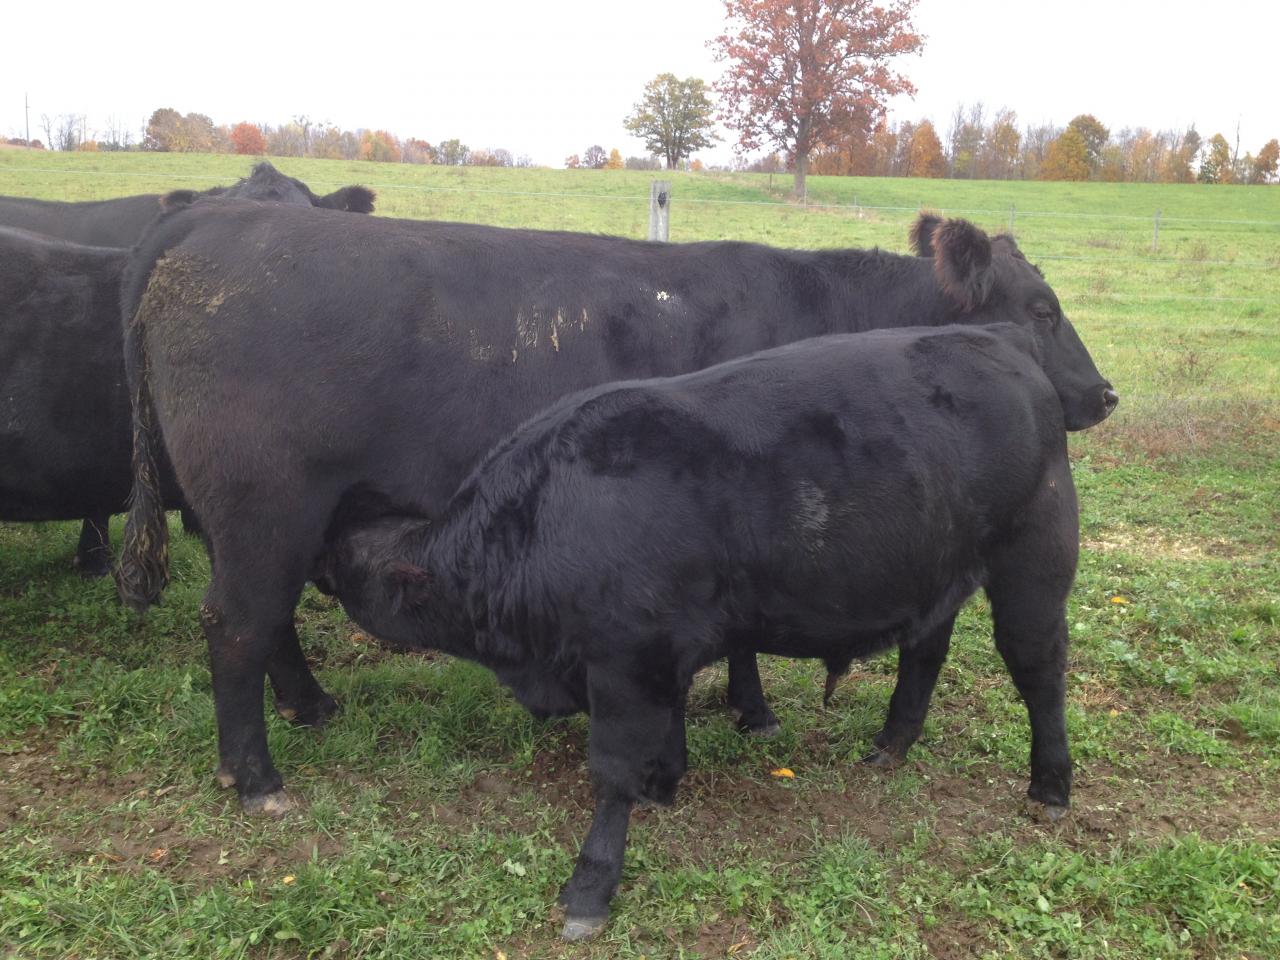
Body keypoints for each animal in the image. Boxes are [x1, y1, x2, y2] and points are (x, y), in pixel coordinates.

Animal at [115, 198, 1114, 816]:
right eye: (1041, 308)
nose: (1102, 395)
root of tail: (211, 218)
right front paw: (753, 711)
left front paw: (744, 708)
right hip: (263, 509)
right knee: (238, 625)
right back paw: (257, 777)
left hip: (271, 521)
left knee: (268, 623)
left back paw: (312, 706)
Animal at [319, 321, 1117, 939]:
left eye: (350, 561)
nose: (316, 567)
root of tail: (998, 338)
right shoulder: (656, 657)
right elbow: (662, 738)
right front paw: (666, 784)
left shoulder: (622, 662)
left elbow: (610, 773)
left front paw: (590, 887)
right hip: (936, 572)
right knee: (925, 651)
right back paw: (891, 745)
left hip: (1035, 559)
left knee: (1037, 667)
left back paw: (1051, 784)